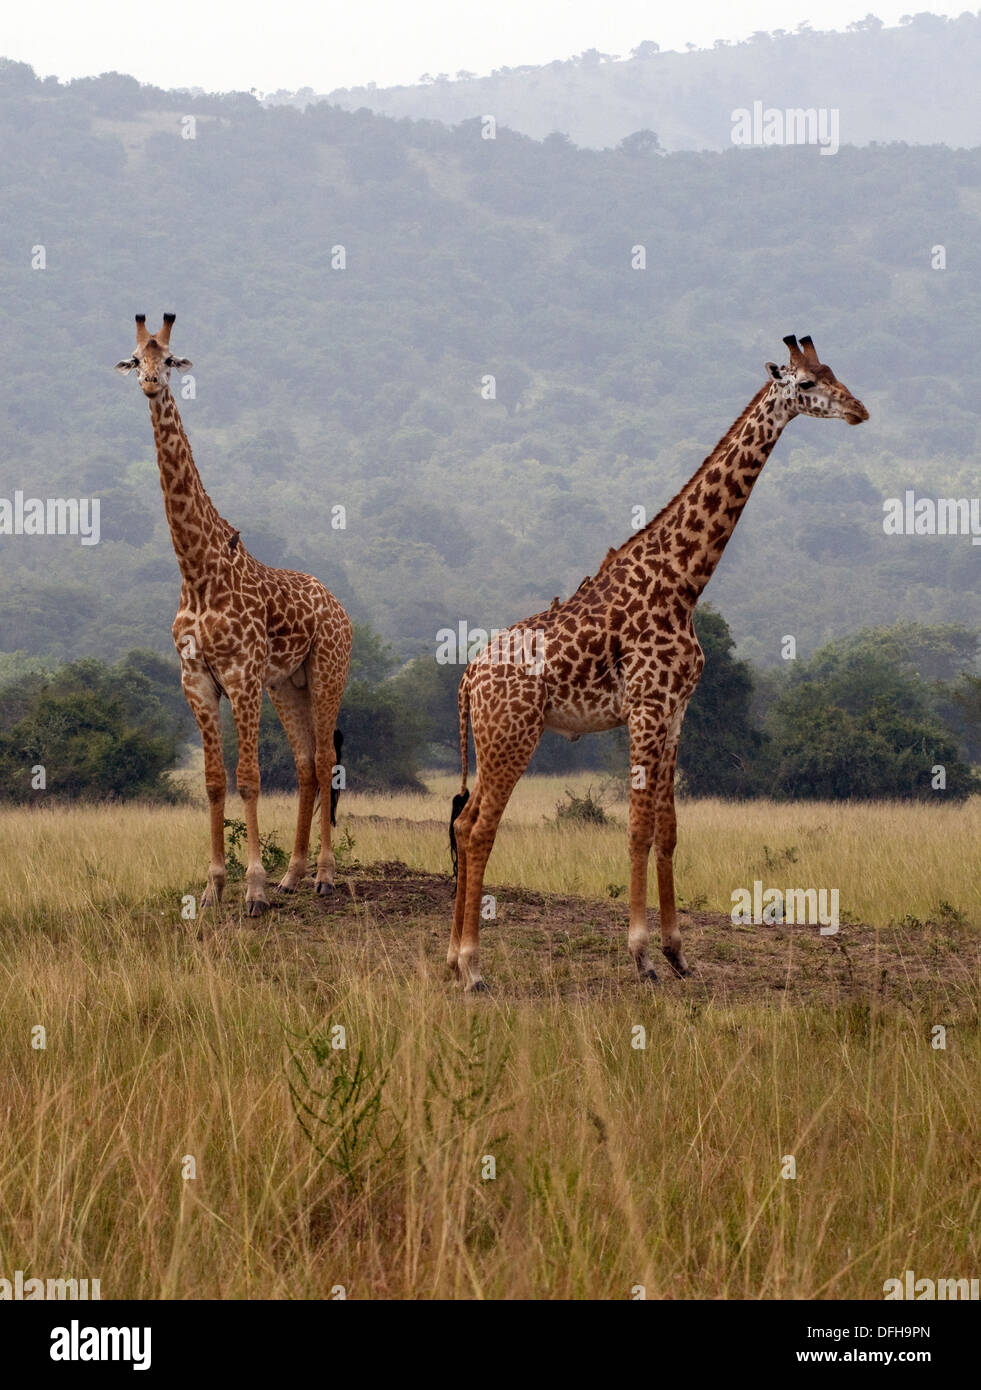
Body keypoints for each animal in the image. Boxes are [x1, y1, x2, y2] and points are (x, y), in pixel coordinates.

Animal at [115, 314, 352, 916]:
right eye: (135, 358)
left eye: (170, 360)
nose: (149, 383)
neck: (197, 573)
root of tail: (339, 606)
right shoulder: (196, 678)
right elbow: (213, 781)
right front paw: (214, 886)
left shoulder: (241, 674)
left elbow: (248, 777)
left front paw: (253, 889)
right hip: (287, 683)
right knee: (306, 764)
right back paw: (294, 875)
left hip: (327, 670)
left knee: (324, 759)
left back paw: (323, 876)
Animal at [448, 335, 868, 991]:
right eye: (804, 384)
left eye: (832, 372)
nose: (858, 410)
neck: (685, 582)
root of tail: (468, 679)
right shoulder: (646, 707)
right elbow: (638, 827)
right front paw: (641, 954)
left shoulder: (675, 712)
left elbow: (669, 829)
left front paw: (677, 953)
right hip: (510, 735)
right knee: (478, 828)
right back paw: (471, 967)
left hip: (500, 739)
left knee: (464, 824)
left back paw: (450, 958)